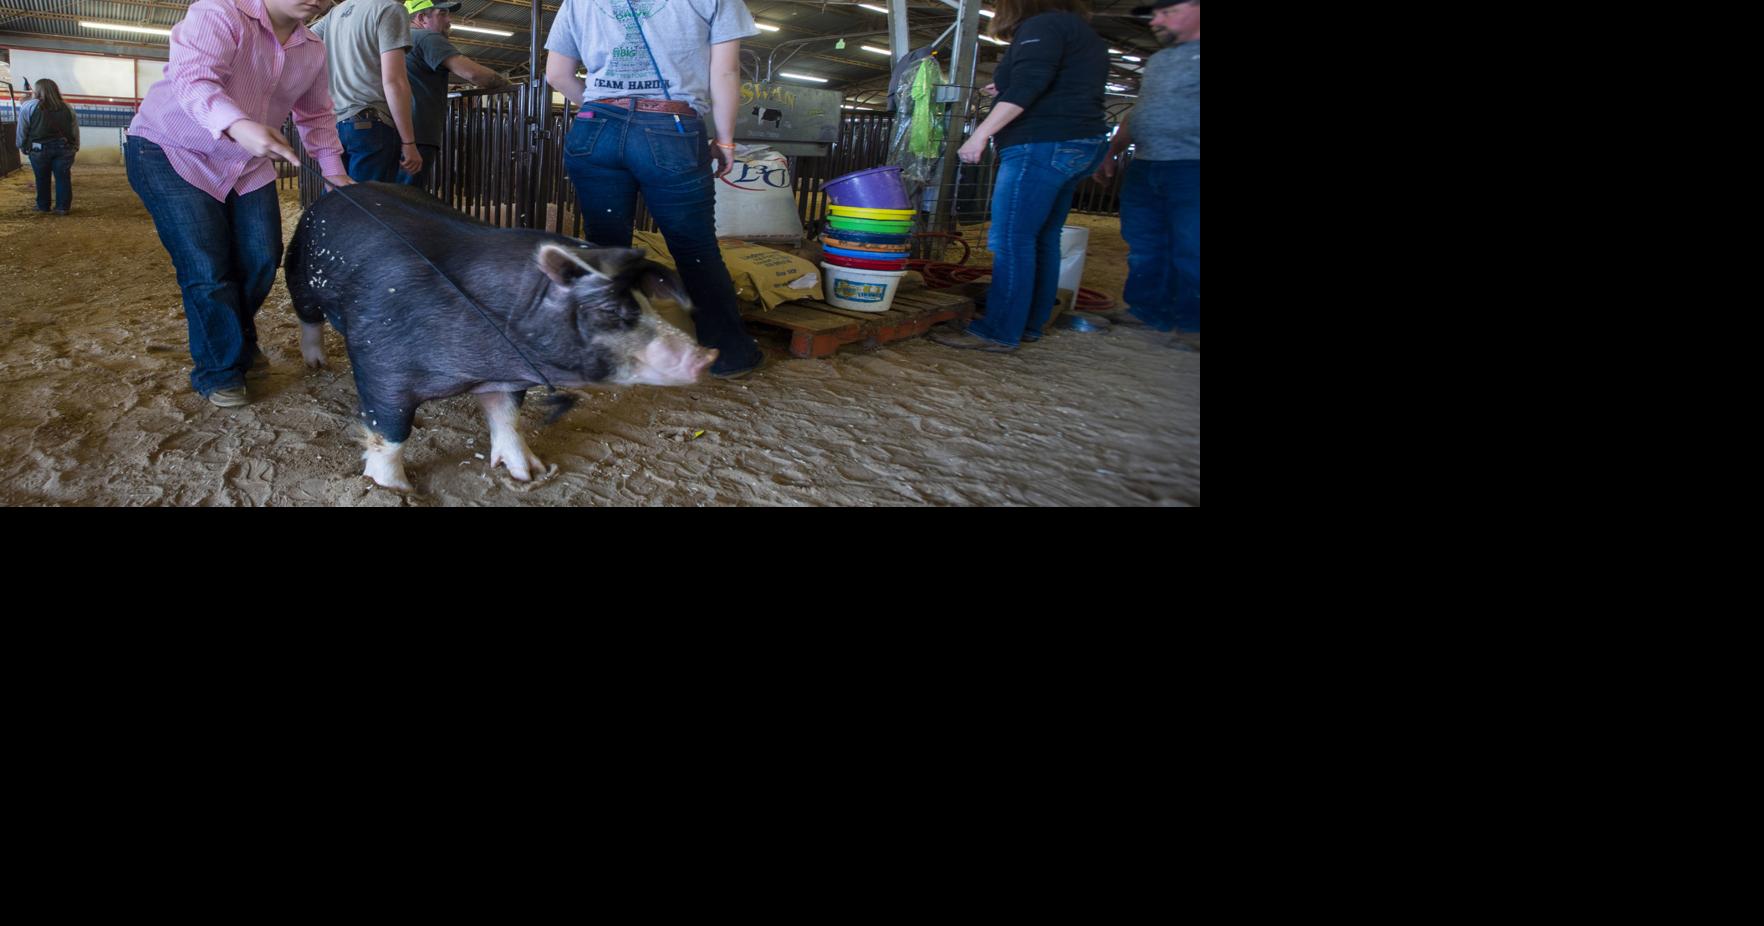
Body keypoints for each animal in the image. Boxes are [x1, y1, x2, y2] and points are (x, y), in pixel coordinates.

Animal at [285, 183, 712, 493]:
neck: (479, 367)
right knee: (308, 319)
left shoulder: (508, 377)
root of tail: (336, 191)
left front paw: (529, 474)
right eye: (610, 311)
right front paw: (393, 490)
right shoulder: (380, 363)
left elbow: (508, 417)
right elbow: (389, 433)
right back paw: (316, 363)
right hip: (299, 272)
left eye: (646, 301)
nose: (706, 356)